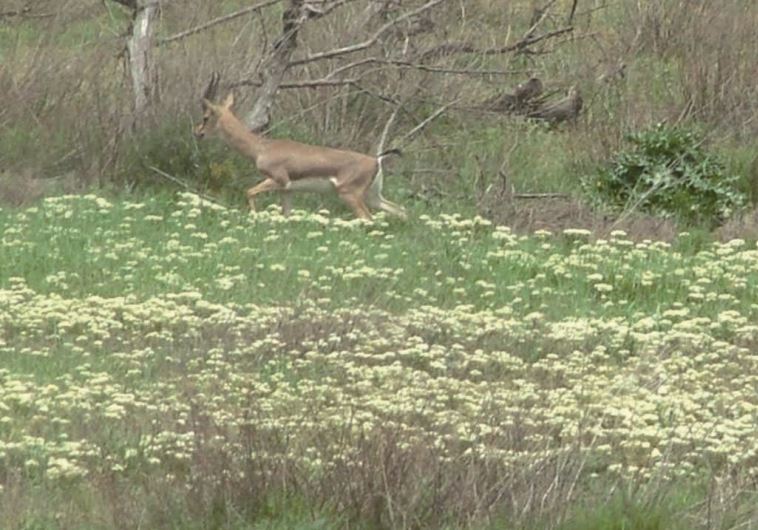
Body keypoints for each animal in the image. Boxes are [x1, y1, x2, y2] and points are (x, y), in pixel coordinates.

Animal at [193, 73, 406, 220]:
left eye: (206, 117)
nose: (197, 132)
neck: (262, 148)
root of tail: (376, 159)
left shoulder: (279, 180)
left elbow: (248, 191)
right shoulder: (287, 191)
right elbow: (286, 214)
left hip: (350, 194)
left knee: (368, 218)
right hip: (373, 196)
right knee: (401, 210)